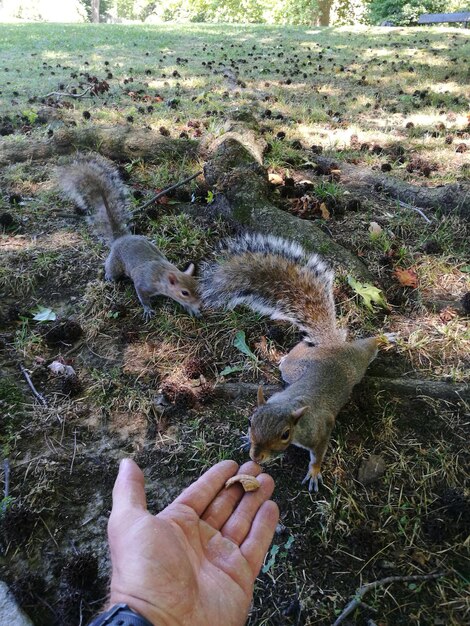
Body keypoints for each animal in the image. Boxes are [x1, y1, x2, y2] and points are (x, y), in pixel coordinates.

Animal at [57, 154, 200, 320]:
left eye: (197, 285)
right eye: (184, 292)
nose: (200, 304)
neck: (161, 274)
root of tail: (121, 238)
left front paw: (192, 309)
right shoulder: (142, 283)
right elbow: (142, 296)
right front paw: (148, 310)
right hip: (115, 262)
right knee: (111, 269)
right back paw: (109, 277)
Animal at [200, 233, 392, 488]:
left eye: (284, 434)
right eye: (250, 422)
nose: (256, 457)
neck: (290, 407)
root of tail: (331, 346)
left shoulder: (320, 430)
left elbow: (318, 453)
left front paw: (314, 472)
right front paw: (244, 438)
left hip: (356, 360)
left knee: (368, 347)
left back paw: (383, 339)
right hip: (297, 366)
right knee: (296, 354)